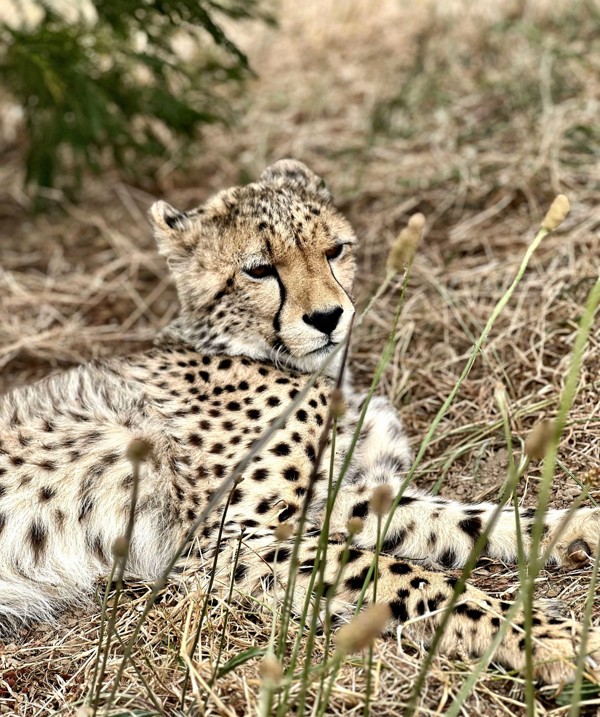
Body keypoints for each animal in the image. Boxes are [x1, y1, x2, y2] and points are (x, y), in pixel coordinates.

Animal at [1, 159, 600, 684]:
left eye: (334, 250)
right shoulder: (223, 539)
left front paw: (579, 528)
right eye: (259, 269)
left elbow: (450, 516)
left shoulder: (334, 494)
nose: (328, 317)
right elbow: (408, 576)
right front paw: (550, 638)